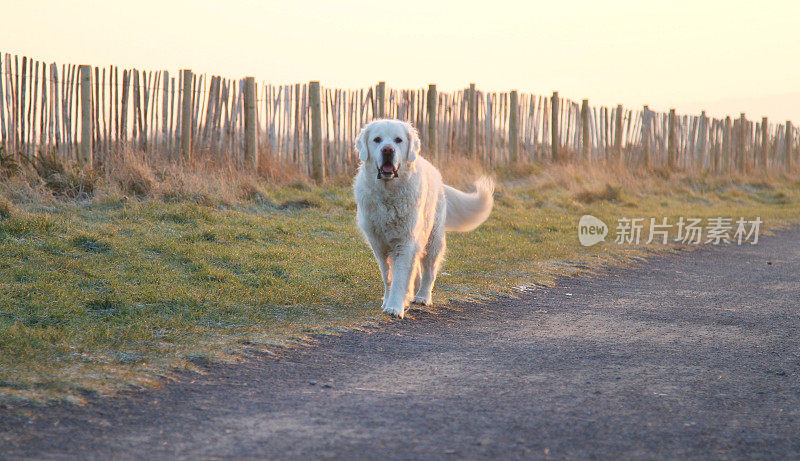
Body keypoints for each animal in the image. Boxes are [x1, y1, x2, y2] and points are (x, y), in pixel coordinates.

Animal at [352, 119, 490, 316]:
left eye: (398, 140)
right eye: (377, 139)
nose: (388, 150)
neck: (388, 194)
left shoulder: (405, 241)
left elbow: (400, 276)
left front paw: (395, 306)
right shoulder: (379, 245)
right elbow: (388, 276)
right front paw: (388, 300)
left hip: (433, 240)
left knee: (429, 271)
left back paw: (423, 296)